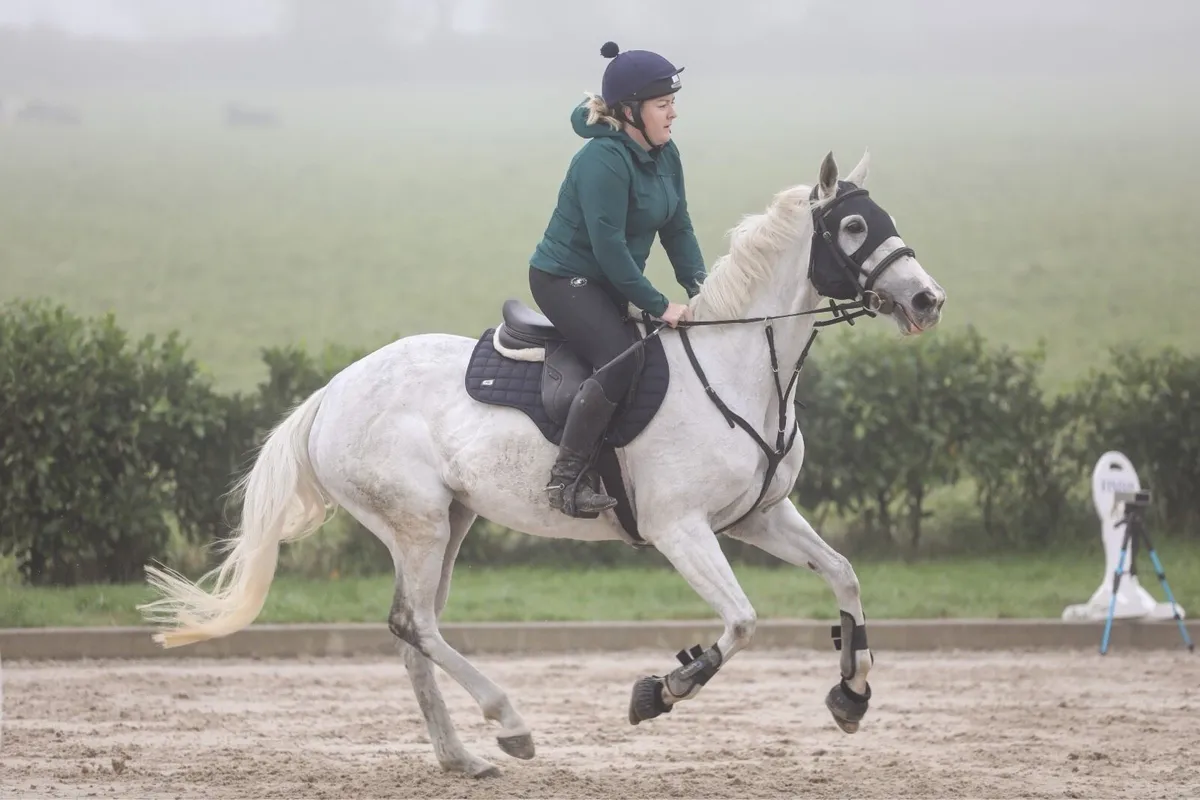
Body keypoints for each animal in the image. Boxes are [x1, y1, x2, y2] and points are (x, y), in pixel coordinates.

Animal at [138, 149, 946, 778]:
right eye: (853, 226)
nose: (927, 299)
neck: (741, 365)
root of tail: (332, 391)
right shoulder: (680, 529)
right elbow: (743, 621)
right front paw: (661, 691)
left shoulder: (759, 517)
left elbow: (843, 574)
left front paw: (852, 694)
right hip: (419, 521)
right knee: (417, 626)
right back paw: (510, 724)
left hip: (449, 522)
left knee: (411, 630)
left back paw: (462, 758)